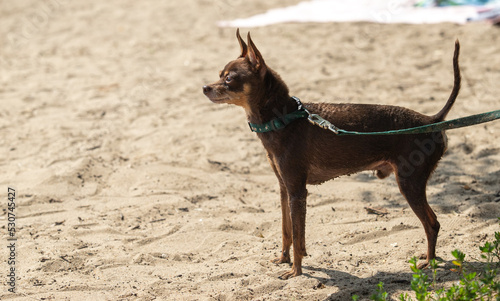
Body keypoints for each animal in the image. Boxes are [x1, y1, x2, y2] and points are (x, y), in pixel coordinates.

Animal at [202, 29, 460, 278]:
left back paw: (429, 262)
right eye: (219, 74)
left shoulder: (297, 192)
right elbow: (288, 231)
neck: (284, 118)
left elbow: (297, 234)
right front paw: (284, 259)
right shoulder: (285, 189)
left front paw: (295, 271)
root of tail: (431, 120)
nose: (205, 88)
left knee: (432, 224)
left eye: (229, 79)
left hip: (409, 183)